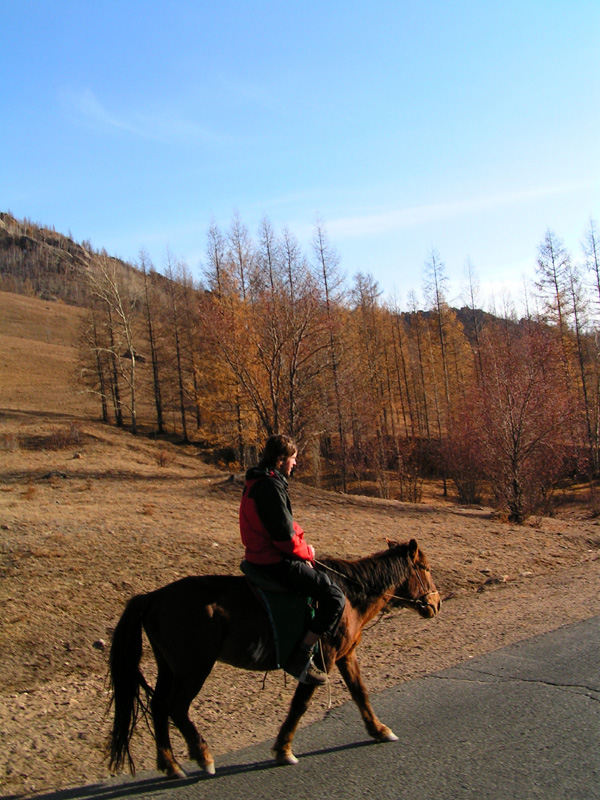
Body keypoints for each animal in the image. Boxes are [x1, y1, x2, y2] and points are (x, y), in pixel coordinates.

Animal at [108, 540, 438, 780]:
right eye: (425, 567)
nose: (436, 603)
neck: (349, 596)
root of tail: (153, 597)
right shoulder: (322, 661)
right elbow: (300, 704)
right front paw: (283, 749)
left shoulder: (346, 655)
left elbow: (360, 693)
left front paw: (379, 730)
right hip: (193, 668)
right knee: (175, 707)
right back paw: (202, 756)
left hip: (169, 668)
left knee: (158, 707)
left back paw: (170, 765)